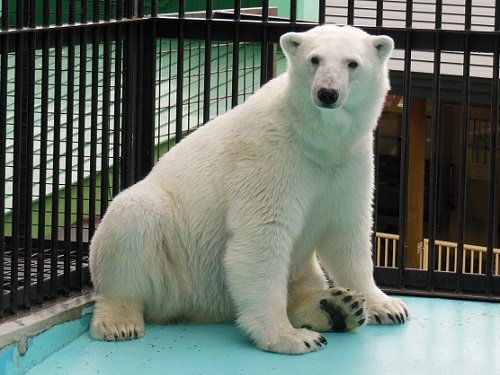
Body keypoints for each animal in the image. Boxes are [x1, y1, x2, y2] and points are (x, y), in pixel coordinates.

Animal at [90, 25, 410, 354]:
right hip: (172, 263)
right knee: (133, 218)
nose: (327, 93)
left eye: (352, 63)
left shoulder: (349, 161)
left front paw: (386, 305)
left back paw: (337, 306)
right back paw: (119, 321)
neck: (313, 141)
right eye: (315, 59)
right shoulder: (271, 158)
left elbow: (347, 234)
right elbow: (262, 237)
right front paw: (289, 336)